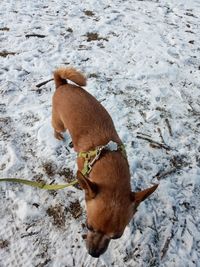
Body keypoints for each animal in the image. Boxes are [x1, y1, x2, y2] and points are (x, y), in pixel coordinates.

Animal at [51, 67, 158, 258]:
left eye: (117, 237)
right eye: (88, 226)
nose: (94, 254)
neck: (107, 160)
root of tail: (62, 84)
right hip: (60, 123)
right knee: (55, 127)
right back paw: (58, 137)